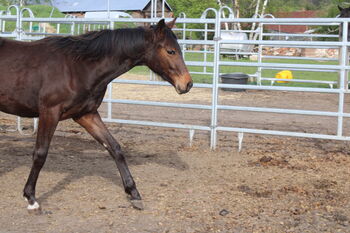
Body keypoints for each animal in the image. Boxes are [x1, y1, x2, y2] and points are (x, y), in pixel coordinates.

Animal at [0, 18, 191, 211]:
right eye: (171, 51)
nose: (187, 84)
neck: (77, 68)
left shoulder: (86, 114)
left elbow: (115, 148)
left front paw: (134, 194)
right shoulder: (49, 112)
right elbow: (40, 154)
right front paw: (31, 198)